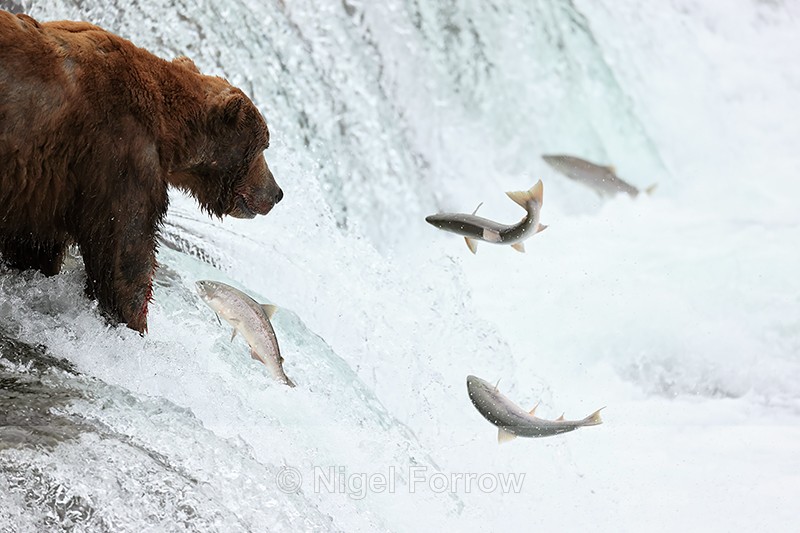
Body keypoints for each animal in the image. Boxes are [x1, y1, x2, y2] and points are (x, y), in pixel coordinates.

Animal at [0, 11, 283, 333]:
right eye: (264, 146)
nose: (277, 193)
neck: (169, 130)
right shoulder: (120, 155)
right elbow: (126, 253)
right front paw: (133, 323)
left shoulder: (48, 188)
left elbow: (34, 246)